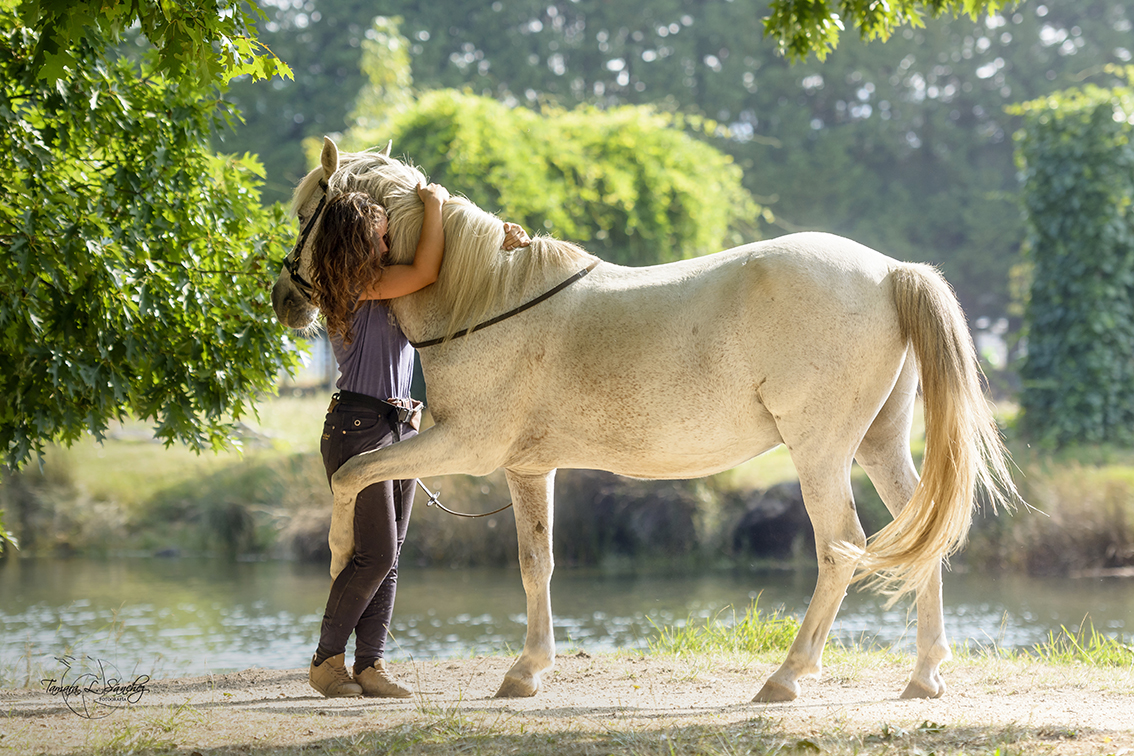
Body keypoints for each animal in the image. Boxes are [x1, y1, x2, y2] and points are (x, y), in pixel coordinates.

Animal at [274, 137, 1020, 702]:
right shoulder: (528, 467)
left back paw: (786, 677)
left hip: (820, 453)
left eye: (309, 210)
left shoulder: (464, 446)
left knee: (840, 547)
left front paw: (337, 561)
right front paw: (527, 671)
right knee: (922, 537)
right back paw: (923, 677)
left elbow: (352, 476)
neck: (484, 298)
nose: (284, 297)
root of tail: (890, 271)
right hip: (879, 445)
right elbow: (536, 563)